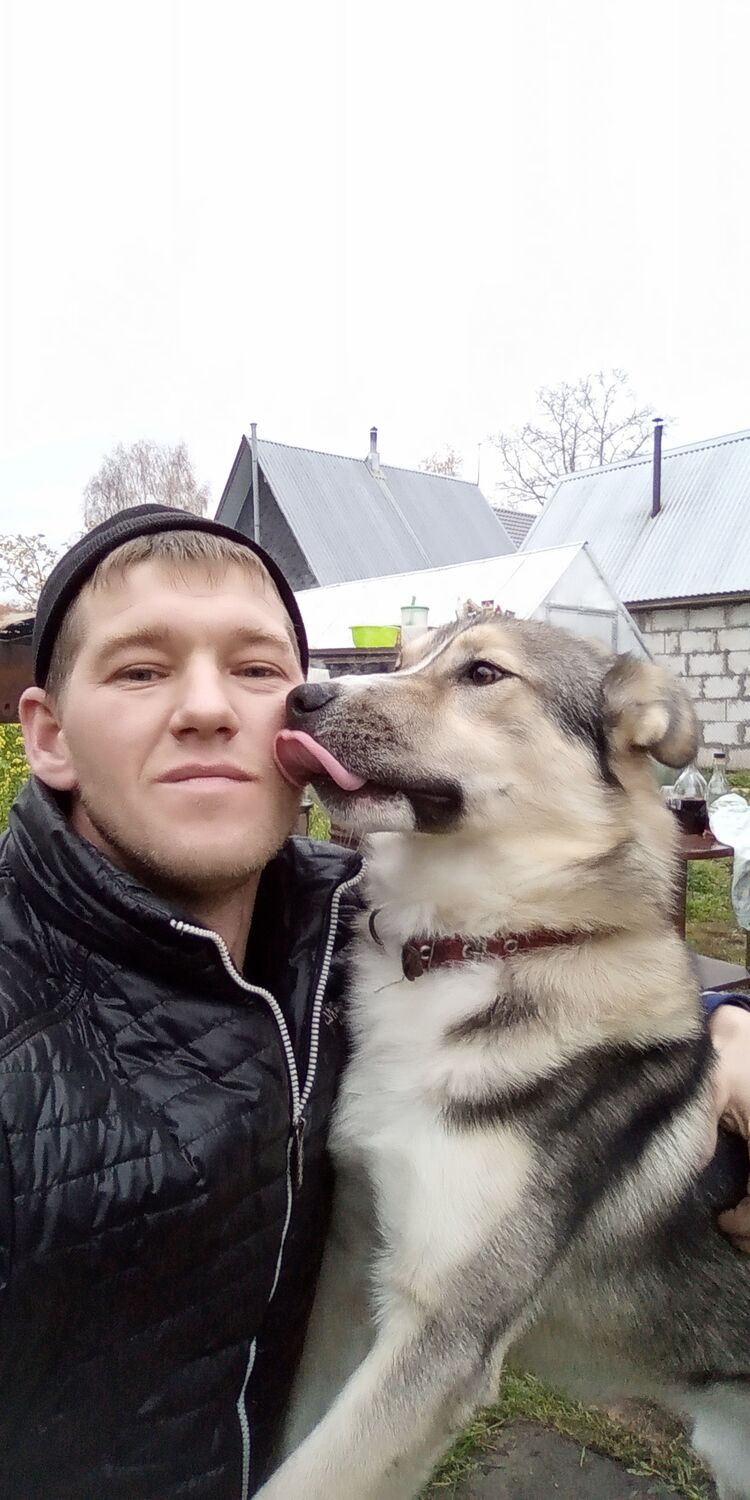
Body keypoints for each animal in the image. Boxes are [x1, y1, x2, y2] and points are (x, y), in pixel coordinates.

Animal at [263, 611, 750, 1500]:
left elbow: (306, 1479)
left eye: (483, 673)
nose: (299, 697)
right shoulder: (349, 1269)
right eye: (399, 659)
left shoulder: (443, 1334)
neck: (472, 946)